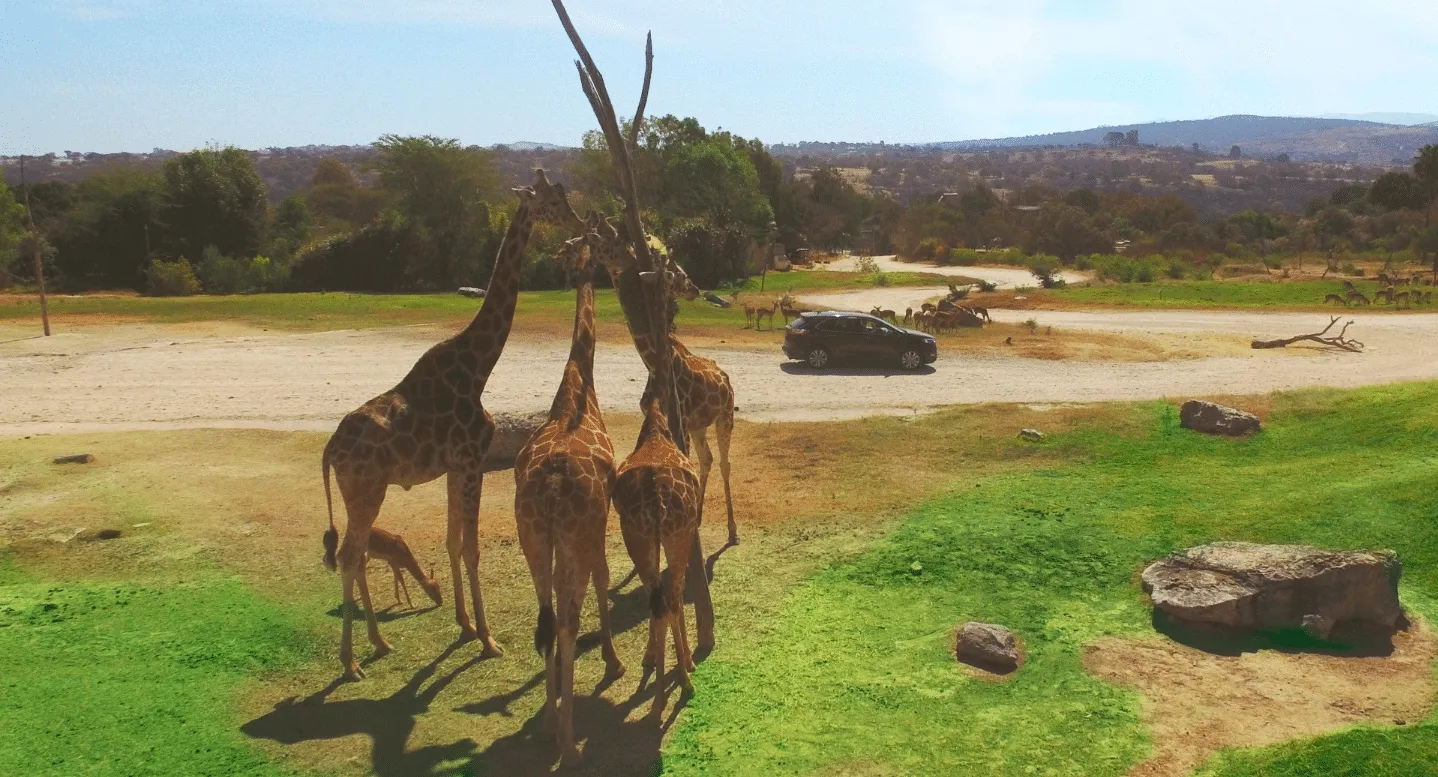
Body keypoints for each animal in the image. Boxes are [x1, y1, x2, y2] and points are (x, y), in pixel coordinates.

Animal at [320, 169, 578, 680]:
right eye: (552, 200)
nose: (578, 218)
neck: (478, 366)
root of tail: (329, 450)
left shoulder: (455, 468)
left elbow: (452, 541)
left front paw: (465, 625)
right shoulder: (473, 460)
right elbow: (472, 548)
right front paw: (489, 639)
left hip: (355, 492)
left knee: (354, 557)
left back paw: (378, 642)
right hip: (365, 489)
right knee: (349, 556)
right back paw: (351, 661)